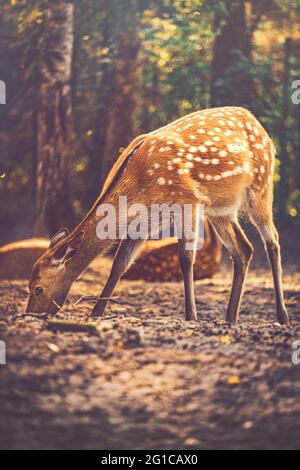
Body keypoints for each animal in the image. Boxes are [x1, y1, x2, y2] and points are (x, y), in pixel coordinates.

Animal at [27, 107, 290, 324]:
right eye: (29, 285)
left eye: (38, 288)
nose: (30, 314)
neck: (141, 188)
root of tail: (258, 124)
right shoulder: (144, 223)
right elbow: (119, 264)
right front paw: (96, 313)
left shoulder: (188, 201)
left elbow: (185, 258)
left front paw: (191, 316)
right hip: (221, 209)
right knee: (244, 249)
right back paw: (230, 317)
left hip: (261, 187)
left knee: (273, 240)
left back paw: (282, 316)